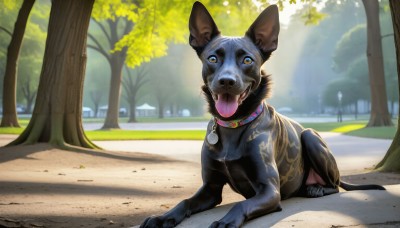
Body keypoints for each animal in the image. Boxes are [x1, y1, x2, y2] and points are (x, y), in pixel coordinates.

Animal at [139, 2, 382, 228]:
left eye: (247, 60)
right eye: (212, 58)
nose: (227, 82)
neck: (233, 125)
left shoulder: (270, 190)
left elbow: (241, 204)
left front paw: (226, 222)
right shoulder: (211, 188)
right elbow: (185, 201)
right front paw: (162, 218)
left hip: (310, 136)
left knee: (335, 185)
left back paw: (317, 189)